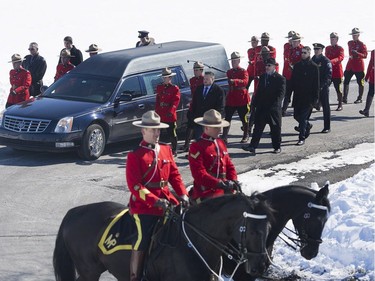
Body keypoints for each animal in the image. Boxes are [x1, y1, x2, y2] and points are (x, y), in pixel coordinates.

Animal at [53, 192, 274, 280]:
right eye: (252, 230)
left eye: (269, 228)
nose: (262, 266)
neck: (194, 242)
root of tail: (75, 212)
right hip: (89, 270)